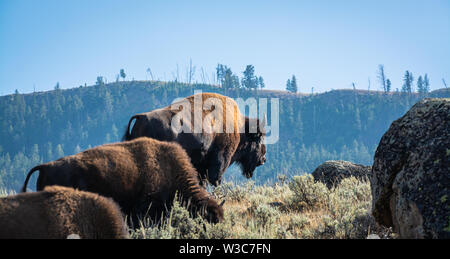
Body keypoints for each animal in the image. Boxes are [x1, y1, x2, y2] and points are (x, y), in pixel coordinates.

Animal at [121, 93, 266, 187]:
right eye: (259, 139)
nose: (263, 159)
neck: (239, 127)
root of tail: (141, 117)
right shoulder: (220, 159)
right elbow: (216, 180)